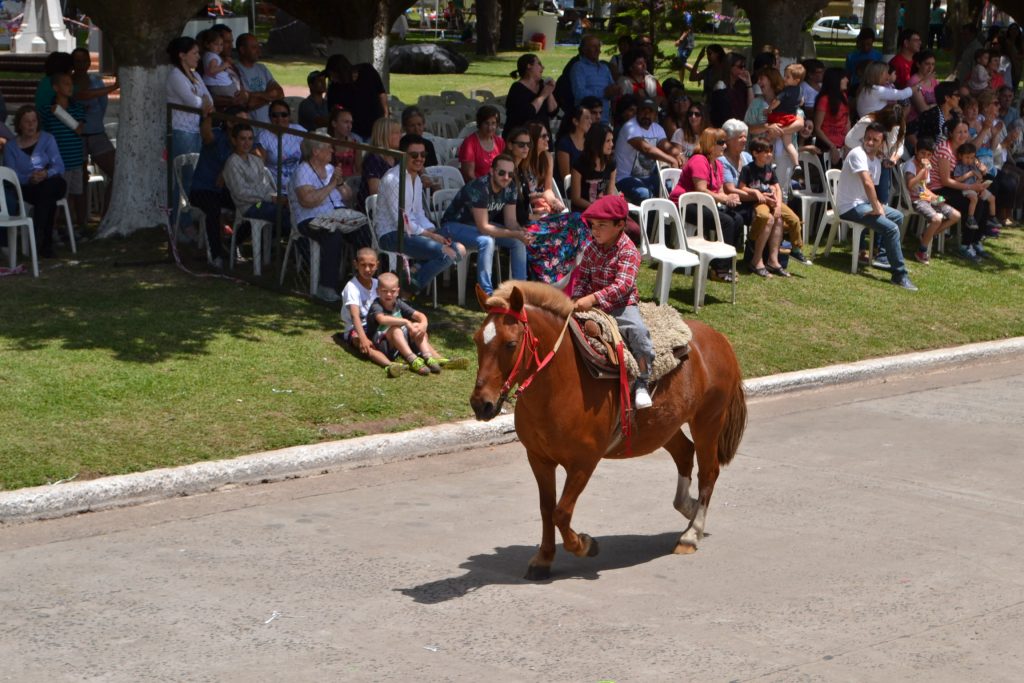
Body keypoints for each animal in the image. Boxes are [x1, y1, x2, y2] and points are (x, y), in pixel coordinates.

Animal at [468, 280, 745, 581]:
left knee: (708, 471)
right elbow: (546, 509)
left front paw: (585, 544)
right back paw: (689, 509)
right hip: (666, 427)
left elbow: (561, 512)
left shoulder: (583, 462)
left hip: (708, 421)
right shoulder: (539, 459)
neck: (559, 383)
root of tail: (719, 339)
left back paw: (691, 534)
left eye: (510, 344)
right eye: (476, 340)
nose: (481, 404)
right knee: (685, 454)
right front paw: (544, 558)